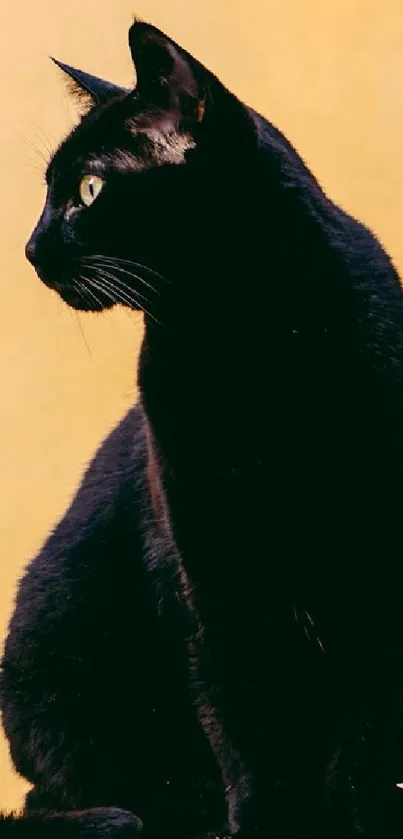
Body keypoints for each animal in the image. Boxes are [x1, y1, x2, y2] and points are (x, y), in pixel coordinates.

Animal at [2, 19, 403, 839]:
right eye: (50, 193)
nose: (29, 248)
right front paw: (267, 821)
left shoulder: (375, 564)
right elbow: (245, 719)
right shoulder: (211, 568)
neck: (245, 343)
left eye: (87, 189)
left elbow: (365, 740)